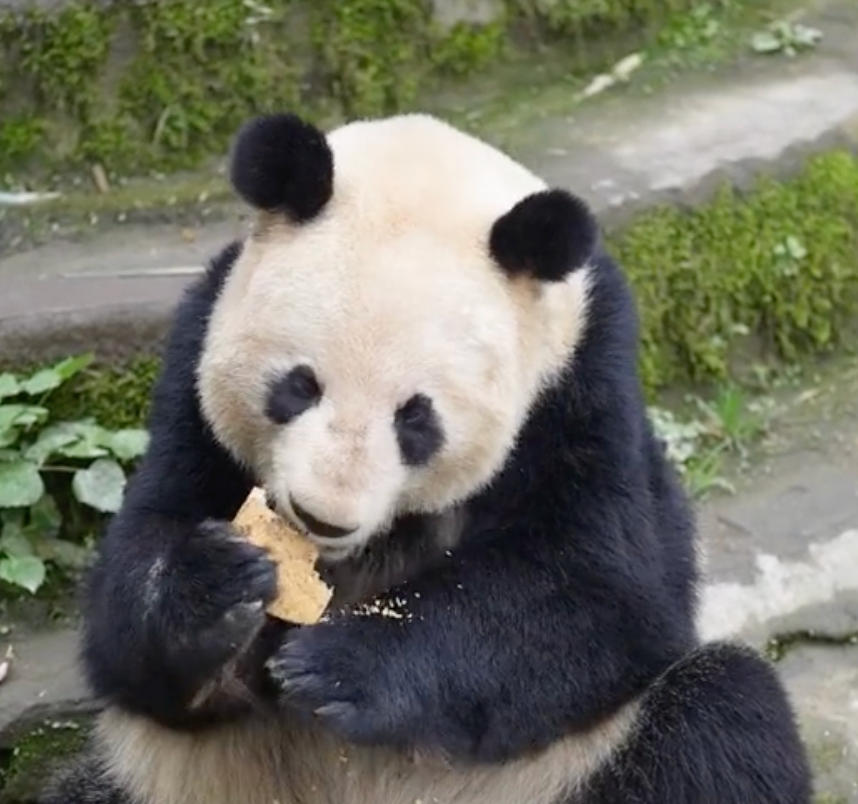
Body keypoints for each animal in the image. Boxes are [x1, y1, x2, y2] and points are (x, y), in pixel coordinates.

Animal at [44, 112, 811, 804]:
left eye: (416, 418)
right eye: (298, 385)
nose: (323, 518)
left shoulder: (581, 382)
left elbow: (598, 591)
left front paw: (338, 667)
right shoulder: (196, 349)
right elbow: (136, 581)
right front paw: (216, 587)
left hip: (570, 767)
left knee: (721, 721)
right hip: (167, 781)